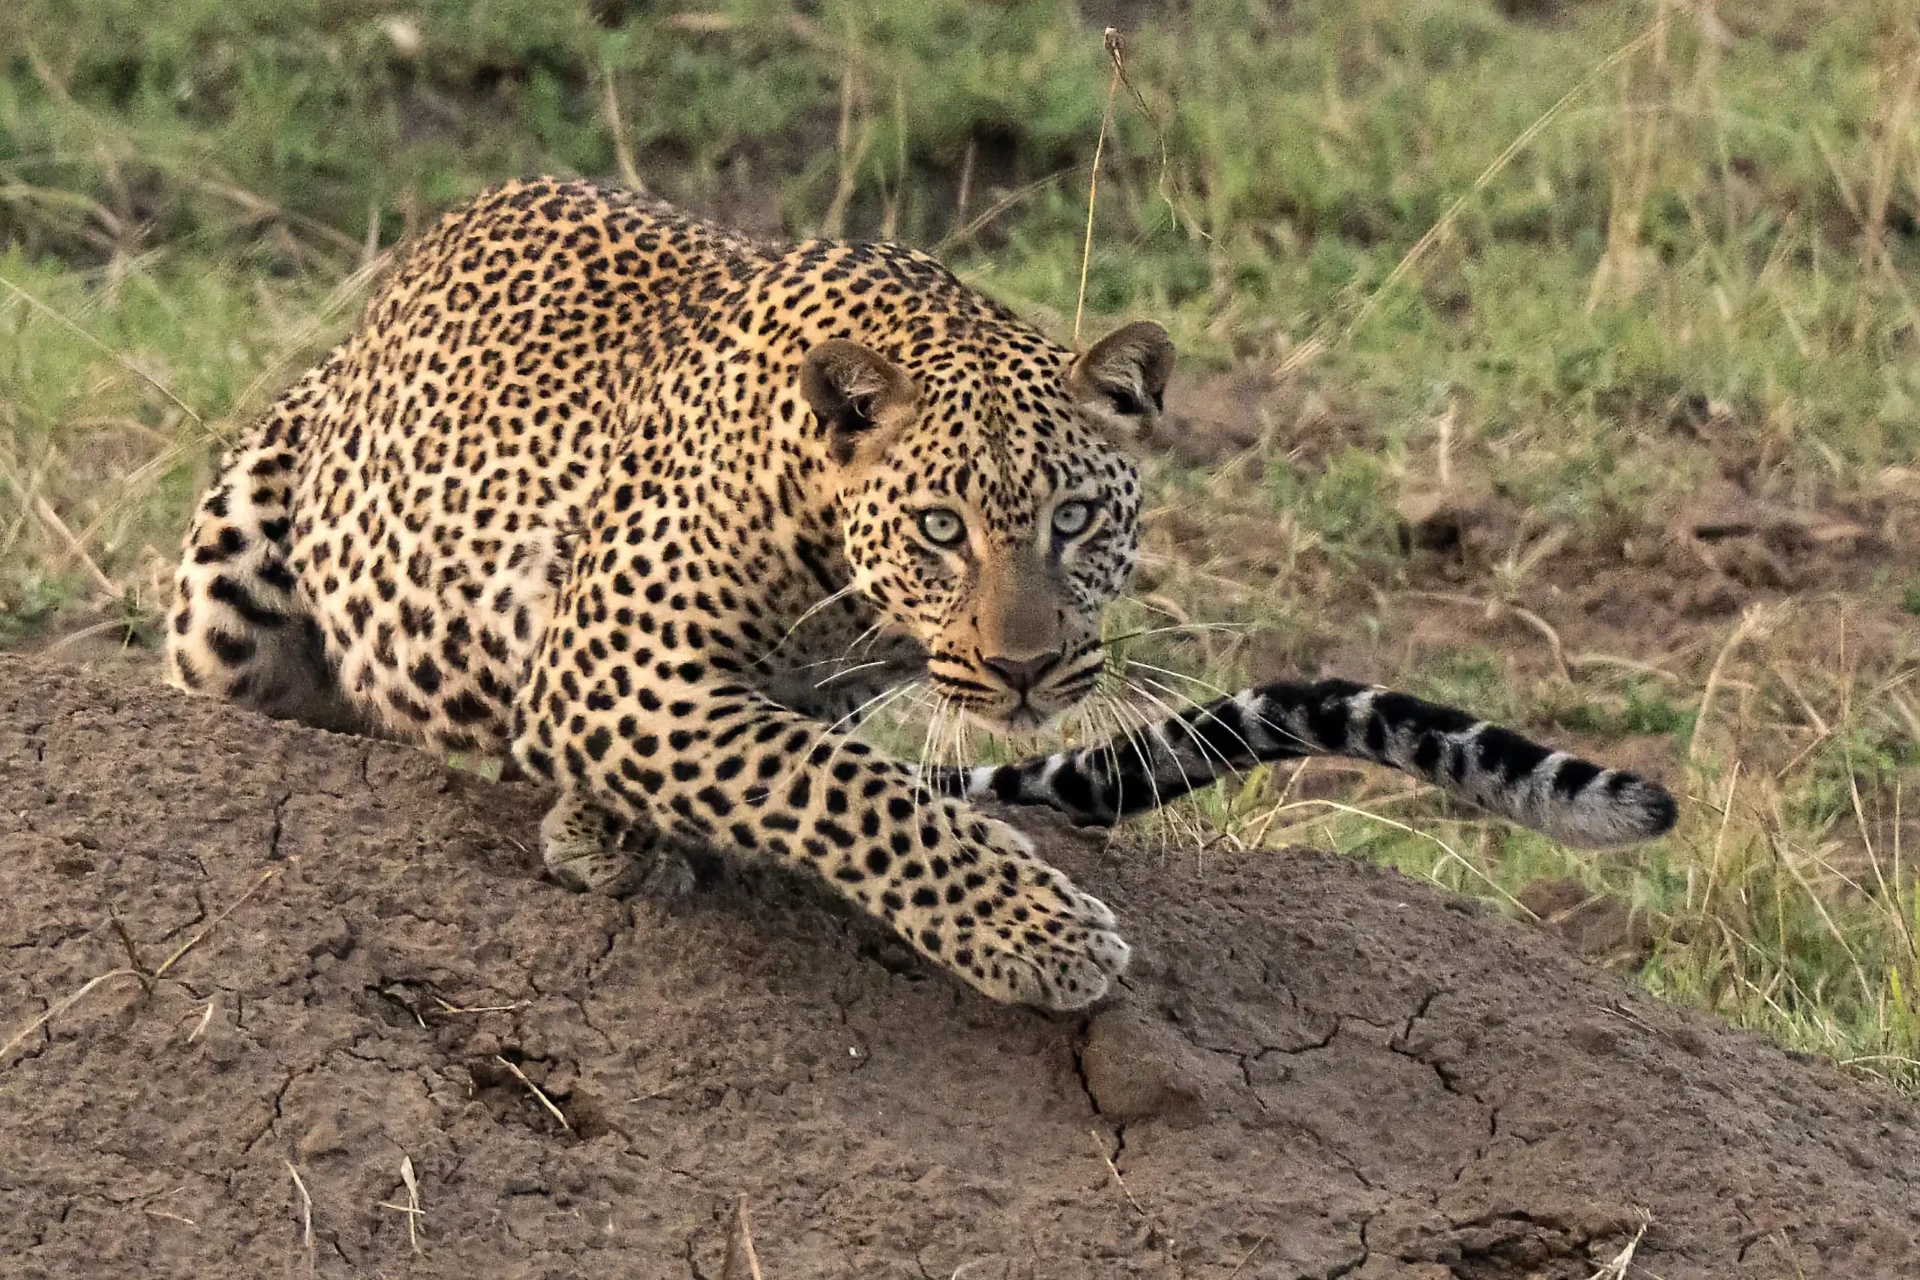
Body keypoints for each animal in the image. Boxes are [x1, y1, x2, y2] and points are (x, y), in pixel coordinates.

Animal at [165, 177, 1676, 1012]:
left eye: (1075, 520)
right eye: (942, 529)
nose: (1024, 669)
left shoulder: (740, 690)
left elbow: (818, 766)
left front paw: (605, 831)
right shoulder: (621, 664)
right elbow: (853, 793)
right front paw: (1040, 934)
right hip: (233, 566)